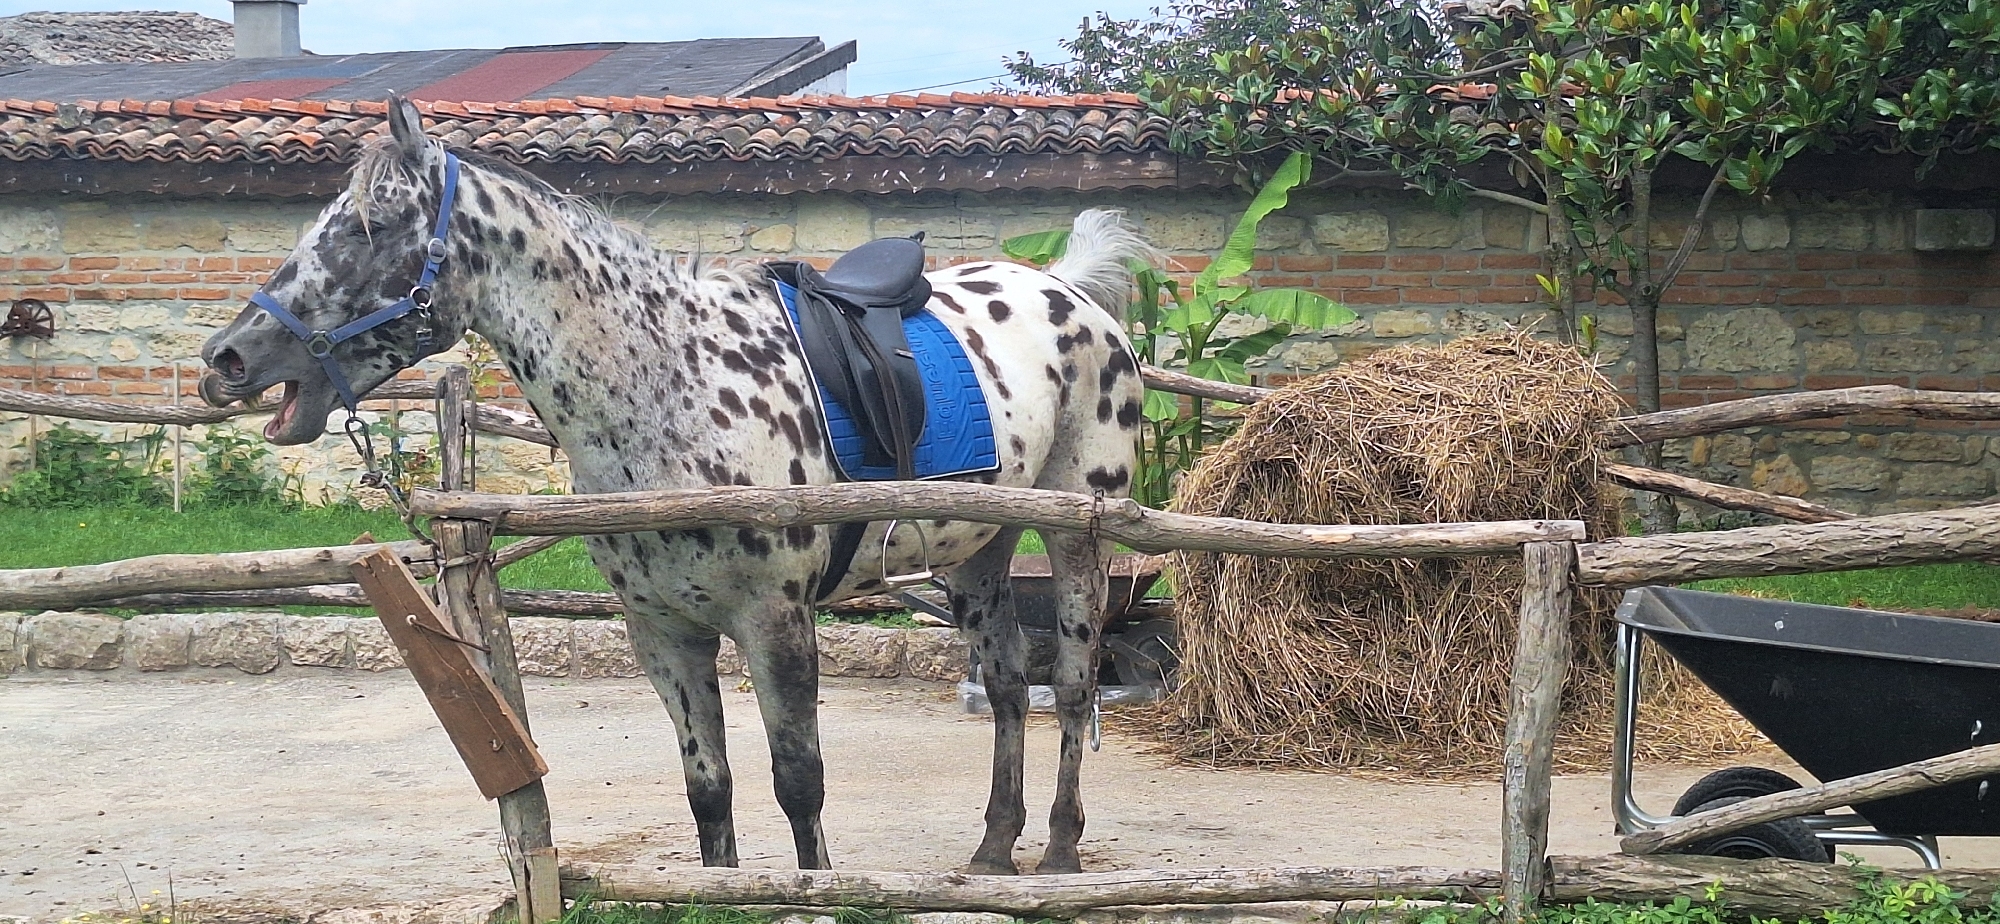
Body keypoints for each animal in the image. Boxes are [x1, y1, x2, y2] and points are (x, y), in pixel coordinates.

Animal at [198, 95, 1154, 875]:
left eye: (371, 227)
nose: (227, 359)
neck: (671, 390)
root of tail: (1067, 290)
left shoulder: (775, 623)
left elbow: (799, 784)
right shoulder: (663, 634)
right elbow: (710, 791)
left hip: (1077, 537)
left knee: (1072, 687)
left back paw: (1060, 848)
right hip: (980, 548)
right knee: (1007, 687)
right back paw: (995, 848)